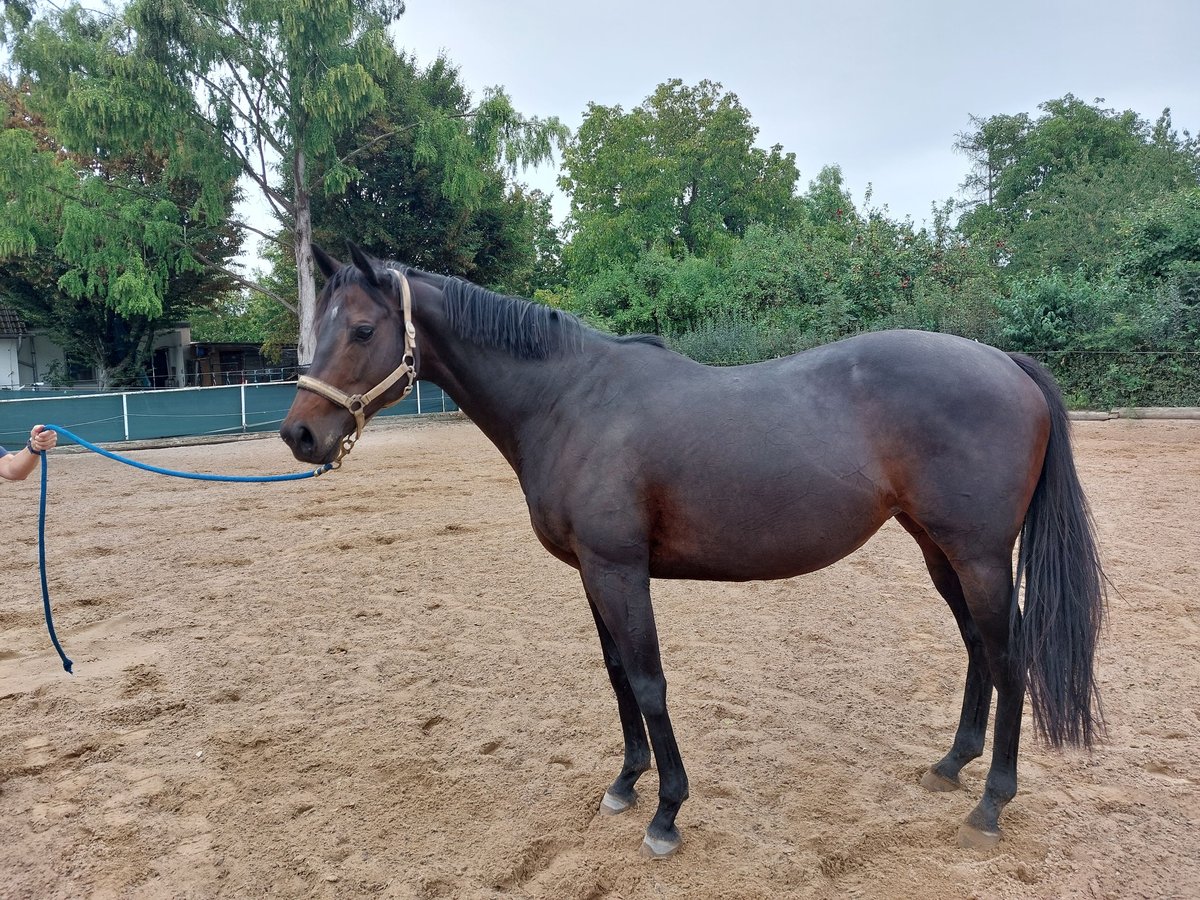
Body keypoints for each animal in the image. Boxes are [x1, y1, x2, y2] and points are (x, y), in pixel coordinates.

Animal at [280, 243, 1106, 859]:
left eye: (362, 330)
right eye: (318, 328)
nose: (300, 435)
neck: (570, 401)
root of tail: (1005, 364)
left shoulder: (620, 570)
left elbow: (649, 682)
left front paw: (667, 813)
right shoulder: (591, 573)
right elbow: (617, 676)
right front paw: (625, 783)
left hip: (981, 556)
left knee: (1009, 656)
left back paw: (992, 803)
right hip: (939, 549)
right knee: (977, 648)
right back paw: (951, 766)